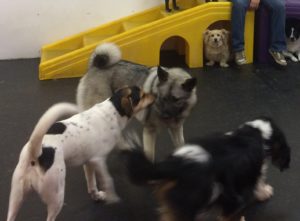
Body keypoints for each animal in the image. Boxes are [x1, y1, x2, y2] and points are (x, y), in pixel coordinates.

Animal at [7, 86, 155, 221]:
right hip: (57, 196)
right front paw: (113, 198)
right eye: (142, 95)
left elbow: (92, 183)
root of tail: (37, 153)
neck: (113, 111)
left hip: (16, 198)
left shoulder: (89, 163)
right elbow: (108, 181)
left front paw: (97, 196)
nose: (155, 95)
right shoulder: (98, 160)